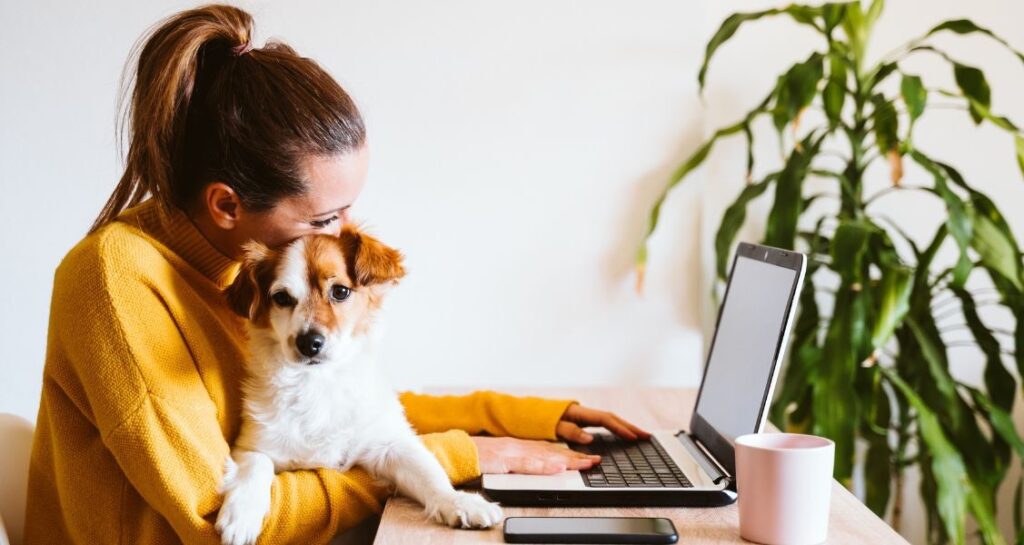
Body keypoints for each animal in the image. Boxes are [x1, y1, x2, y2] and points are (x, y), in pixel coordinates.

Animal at [217, 226, 503, 545]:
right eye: (281, 298)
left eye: (340, 291)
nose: (309, 343)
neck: (319, 384)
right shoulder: (252, 445)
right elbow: (255, 467)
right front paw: (242, 514)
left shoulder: (390, 445)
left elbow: (429, 473)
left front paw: (459, 502)